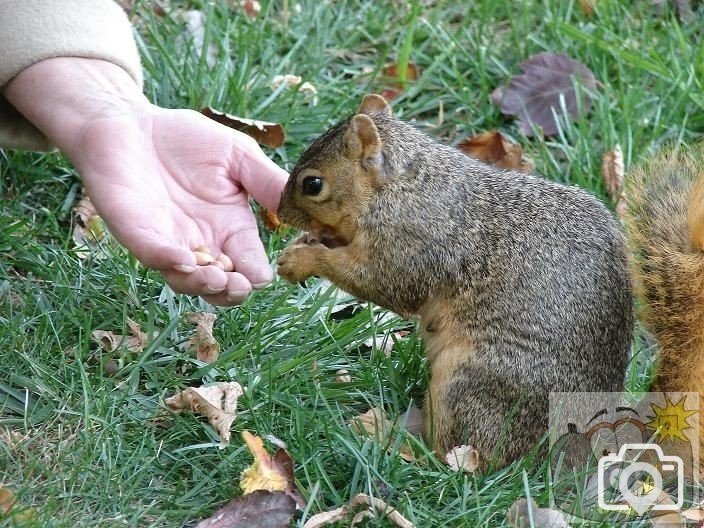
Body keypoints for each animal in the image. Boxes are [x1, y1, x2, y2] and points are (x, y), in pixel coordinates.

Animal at [276, 95, 632, 470]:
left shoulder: (412, 245)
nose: (280, 212)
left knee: (457, 455)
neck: (401, 186)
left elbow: (382, 283)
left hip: (469, 382)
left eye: (313, 184)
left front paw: (302, 260)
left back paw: (396, 443)